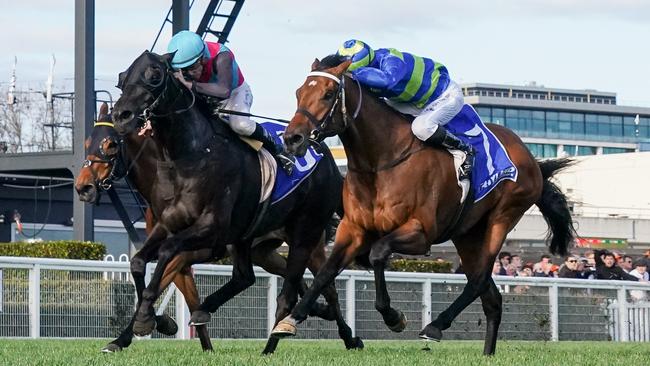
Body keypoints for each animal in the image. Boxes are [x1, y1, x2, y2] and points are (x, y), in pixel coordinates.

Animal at [109, 50, 362, 354]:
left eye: (155, 75)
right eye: (123, 76)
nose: (121, 115)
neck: (190, 154)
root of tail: (327, 158)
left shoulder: (211, 228)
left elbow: (168, 254)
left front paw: (148, 319)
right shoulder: (169, 224)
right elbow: (137, 262)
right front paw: (152, 320)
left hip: (306, 234)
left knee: (303, 289)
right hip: (249, 238)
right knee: (246, 276)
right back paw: (207, 310)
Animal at [270, 55, 576, 356]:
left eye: (328, 94)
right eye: (299, 92)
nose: (292, 138)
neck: (381, 161)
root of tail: (529, 156)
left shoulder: (421, 233)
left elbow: (378, 253)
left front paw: (393, 317)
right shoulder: (353, 229)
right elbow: (326, 272)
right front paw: (289, 321)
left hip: (504, 215)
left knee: (478, 279)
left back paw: (435, 326)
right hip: (467, 234)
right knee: (490, 296)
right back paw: (486, 353)